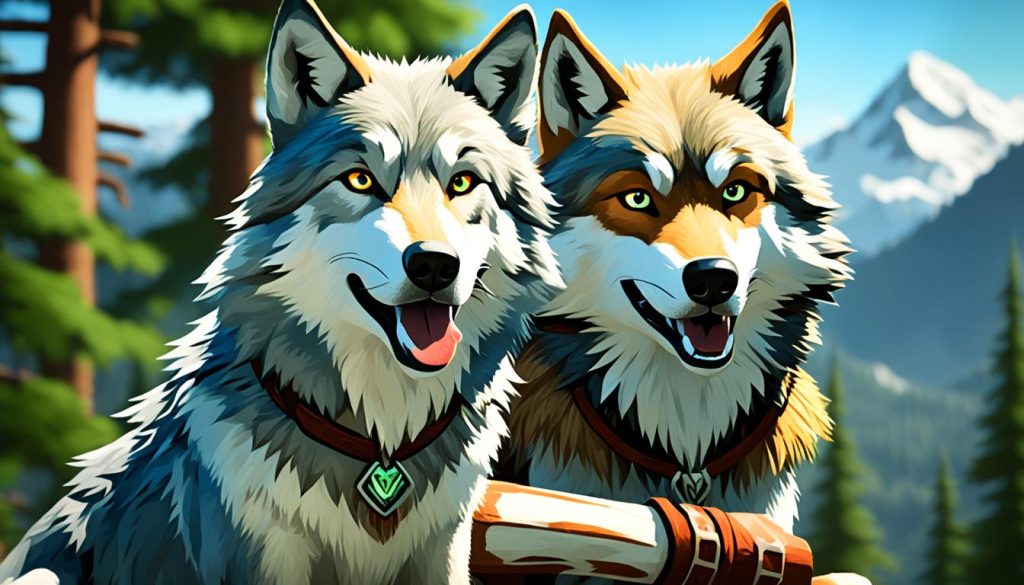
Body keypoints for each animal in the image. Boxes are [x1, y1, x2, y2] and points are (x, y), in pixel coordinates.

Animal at [0, 1, 561, 583]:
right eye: (360, 180)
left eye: (463, 182)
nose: (434, 266)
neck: (382, 438)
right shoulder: (263, 552)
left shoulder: (443, 546)